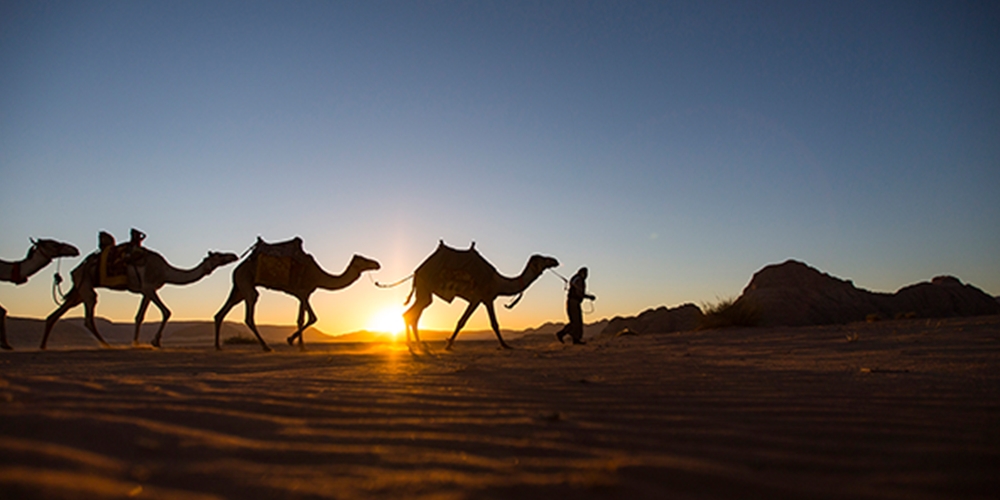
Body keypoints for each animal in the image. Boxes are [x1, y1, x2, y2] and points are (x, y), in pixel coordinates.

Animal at [43, 242, 240, 348]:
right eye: (219, 255)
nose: (233, 255)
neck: (165, 271)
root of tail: (76, 270)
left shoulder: (147, 291)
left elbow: (139, 316)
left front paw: (137, 343)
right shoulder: (149, 287)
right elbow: (167, 312)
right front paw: (155, 341)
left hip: (79, 290)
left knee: (55, 314)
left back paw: (43, 345)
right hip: (86, 286)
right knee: (88, 316)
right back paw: (107, 345)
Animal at [213, 237, 380, 352]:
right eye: (364, 260)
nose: (377, 263)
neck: (318, 275)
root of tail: (237, 268)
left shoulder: (303, 295)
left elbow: (300, 319)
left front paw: (301, 346)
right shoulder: (303, 292)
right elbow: (312, 318)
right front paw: (290, 340)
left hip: (239, 287)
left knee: (221, 313)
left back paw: (218, 346)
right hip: (246, 281)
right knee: (249, 312)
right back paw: (266, 347)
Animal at [400, 240, 556, 350]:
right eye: (542, 259)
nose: (555, 261)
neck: (497, 281)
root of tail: (416, 272)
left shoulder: (482, 299)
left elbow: (481, 322)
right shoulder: (482, 297)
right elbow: (477, 322)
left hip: (424, 293)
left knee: (412, 315)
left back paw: (416, 345)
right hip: (424, 289)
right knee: (411, 314)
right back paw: (415, 345)